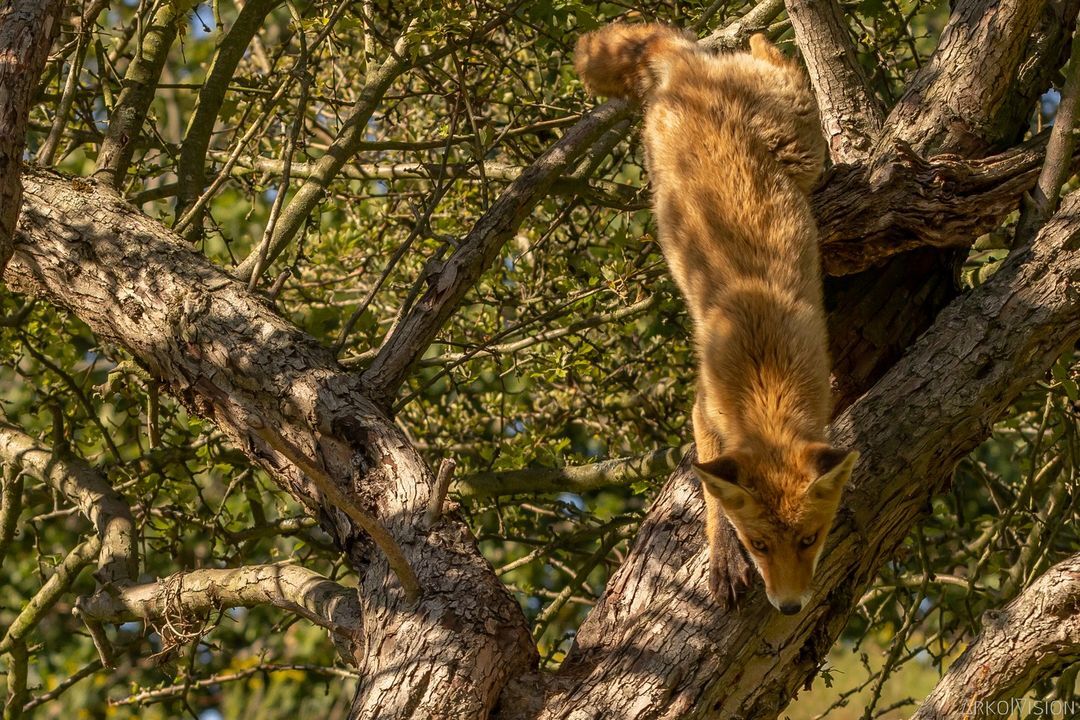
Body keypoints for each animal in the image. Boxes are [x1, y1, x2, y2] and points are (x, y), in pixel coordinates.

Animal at [574, 25, 859, 617]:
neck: (766, 376)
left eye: (809, 539)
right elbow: (710, 495)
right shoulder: (704, 410)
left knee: (769, 53)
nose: (790, 606)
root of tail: (684, 67)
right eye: (760, 545)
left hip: (800, 146)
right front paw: (722, 559)